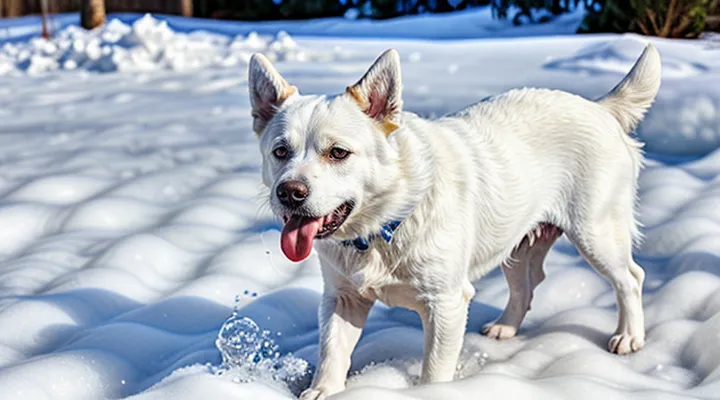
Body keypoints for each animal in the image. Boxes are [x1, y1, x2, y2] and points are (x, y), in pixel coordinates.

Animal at [249, 43, 664, 396]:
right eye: (280, 152)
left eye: (338, 153)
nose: (290, 192)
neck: (386, 223)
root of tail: (600, 108)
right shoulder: (343, 299)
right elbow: (332, 354)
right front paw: (322, 391)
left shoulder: (445, 304)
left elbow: (434, 371)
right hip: (514, 243)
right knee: (526, 286)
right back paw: (505, 328)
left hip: (596, 233)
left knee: (631, 278)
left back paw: (630, 337)